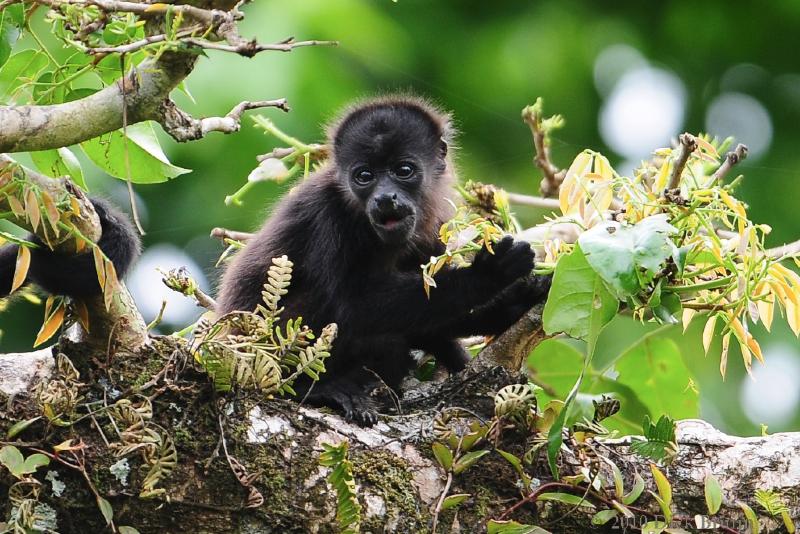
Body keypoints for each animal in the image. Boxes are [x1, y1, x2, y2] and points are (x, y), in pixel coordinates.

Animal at [216, 95, 548, 422]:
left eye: (403, 170)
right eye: (364, 176)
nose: (385, 197)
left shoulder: (435, 227)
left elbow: (432, 317)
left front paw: (518, 300)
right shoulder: (328, 213)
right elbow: (356, 306)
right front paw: (489, 274)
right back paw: (322, 389)